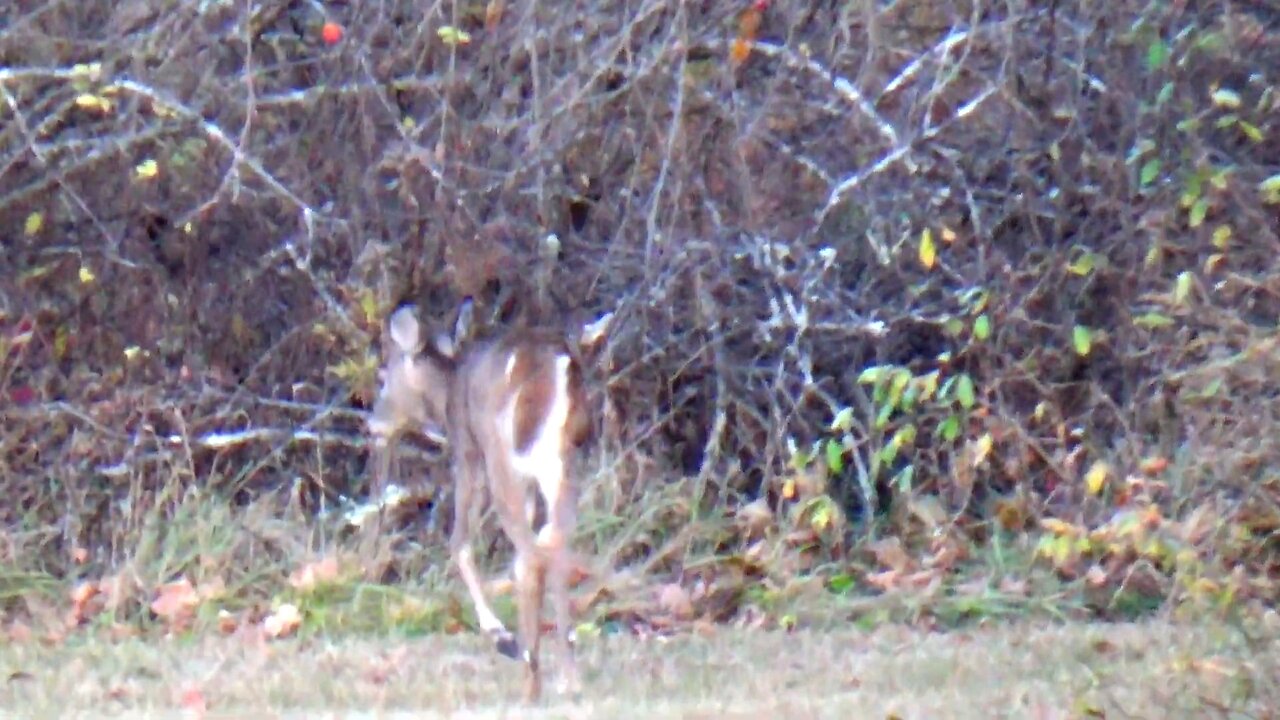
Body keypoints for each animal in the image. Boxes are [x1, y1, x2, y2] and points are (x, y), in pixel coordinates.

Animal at [368, 297, 611, 702]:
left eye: (386, 373)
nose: (373, 424)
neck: (448, 392)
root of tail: (559, 366)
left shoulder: (468, 451)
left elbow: (459, 542)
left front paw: (501, 635)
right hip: (561, 461)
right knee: (552, 543)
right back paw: (567, 674)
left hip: (502, 456)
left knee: (531, 552)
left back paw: (531, 677)